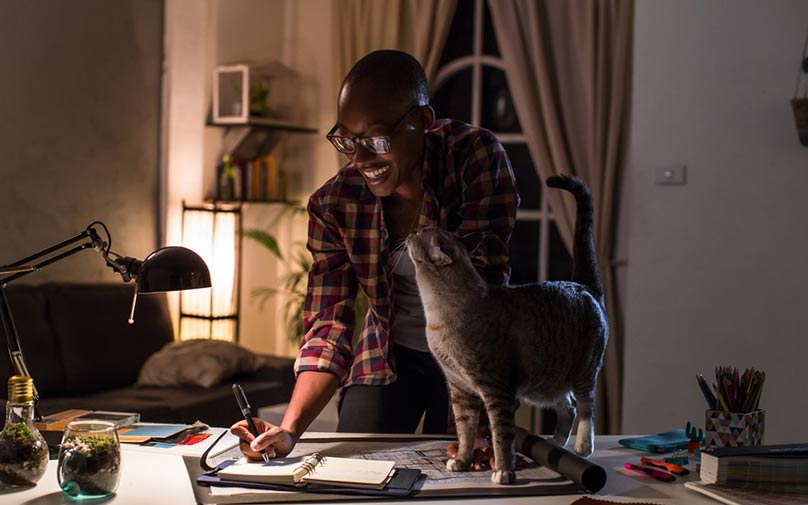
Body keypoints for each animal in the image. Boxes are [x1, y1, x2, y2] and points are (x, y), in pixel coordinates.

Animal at [408, 174, 608, 484]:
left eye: (420, 234)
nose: (410, 231)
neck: (435, 315)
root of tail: (584, 287)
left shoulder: (496, 390)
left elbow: (501, 435)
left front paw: (503, 471)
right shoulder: (460, 389)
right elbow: (465, 432)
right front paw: (462, 461)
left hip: (584, 371)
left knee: (586, 406)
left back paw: (582, 446)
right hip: (547, 384)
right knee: (569, 407)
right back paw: (554, 443)